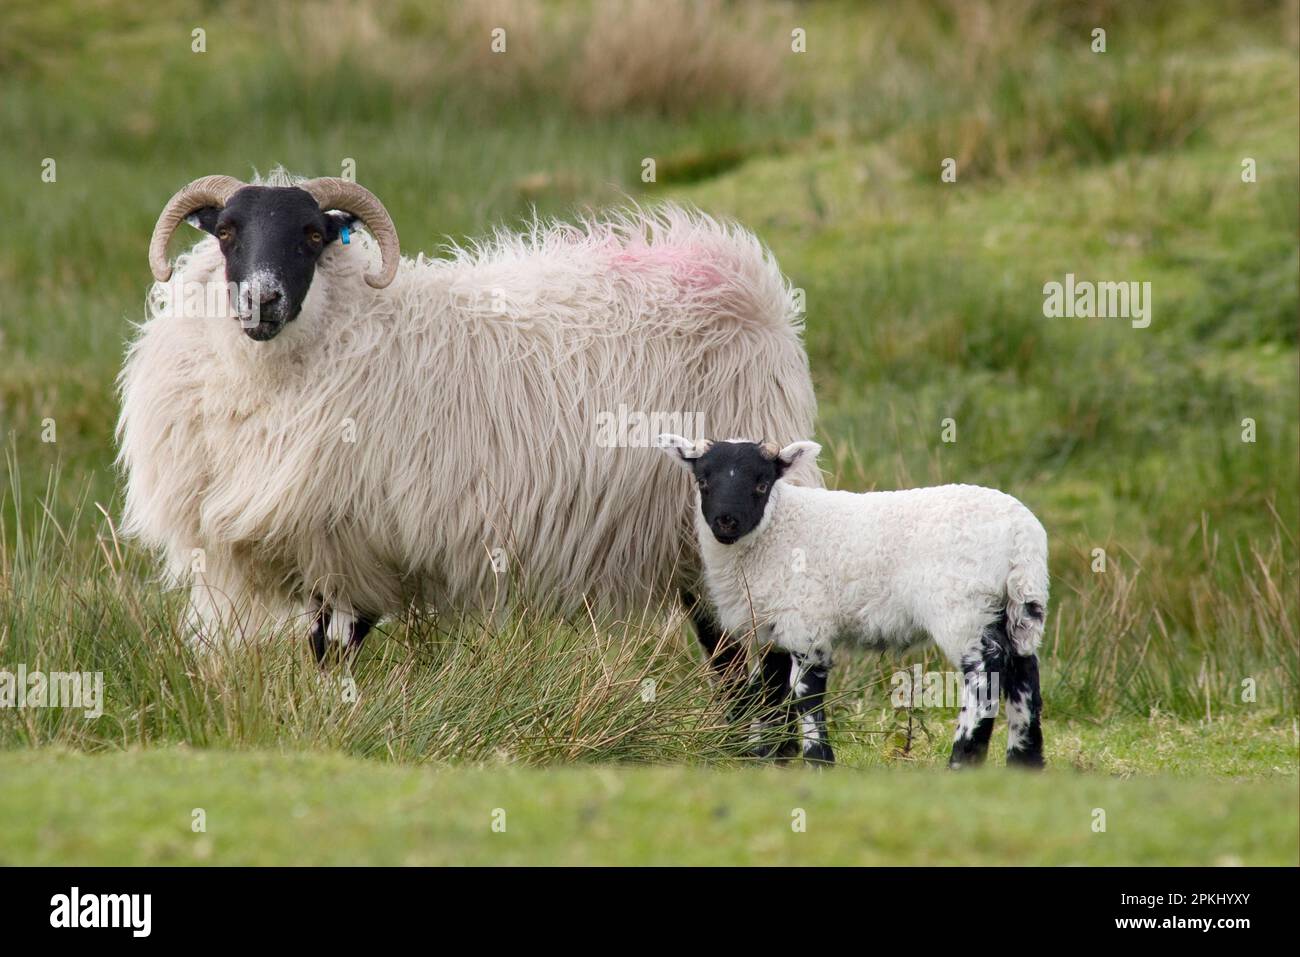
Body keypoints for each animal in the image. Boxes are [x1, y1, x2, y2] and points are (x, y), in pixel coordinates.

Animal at [116, 166, 816, 670]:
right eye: (226, 232)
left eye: (313, 236)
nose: (262, 301)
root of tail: (748, 281)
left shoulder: (353, 542)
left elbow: (331, 653)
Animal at [655, 434, 1050, 769]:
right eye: (703, 481)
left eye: (761, 484)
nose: (726, 522)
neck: (776, 529)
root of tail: (1022, 534)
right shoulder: (774, 625)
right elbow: (769, 691)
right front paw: (767, 759)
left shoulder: (806, 621)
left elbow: (805, 694)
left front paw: (818, 761)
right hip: (1018, 604)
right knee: (1024, 671)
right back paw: (1024, 763)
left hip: (961, 605)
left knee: (986, 670)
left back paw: (962, 759)